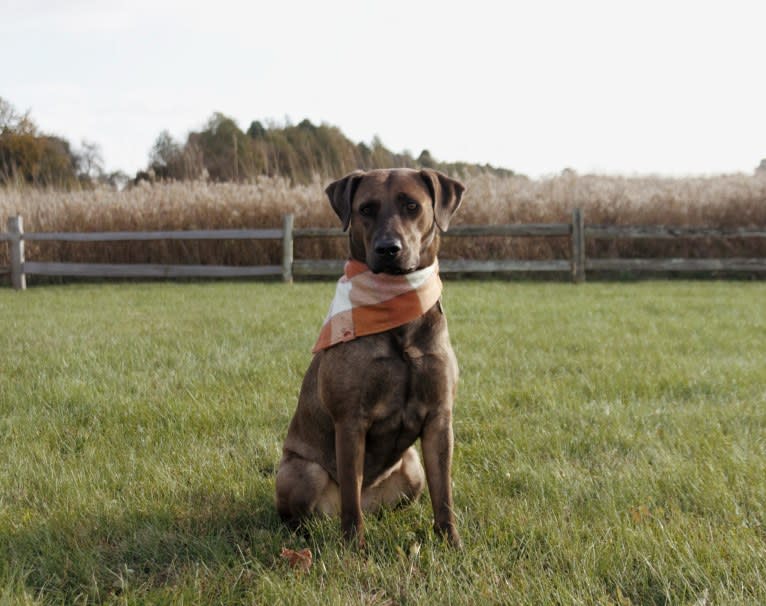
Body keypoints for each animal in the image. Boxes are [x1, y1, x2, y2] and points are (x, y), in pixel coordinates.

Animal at [278, 169, 468, 548]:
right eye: (366, 208)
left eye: (412, 206)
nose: (388, 249)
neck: (396, 308)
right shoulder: (351, 419)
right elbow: (350, 496)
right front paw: (355, 546)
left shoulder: (440, 418)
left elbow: (444, 493)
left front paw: (450, 542)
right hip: (302, 471)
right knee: (314, 509)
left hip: (412, 469)